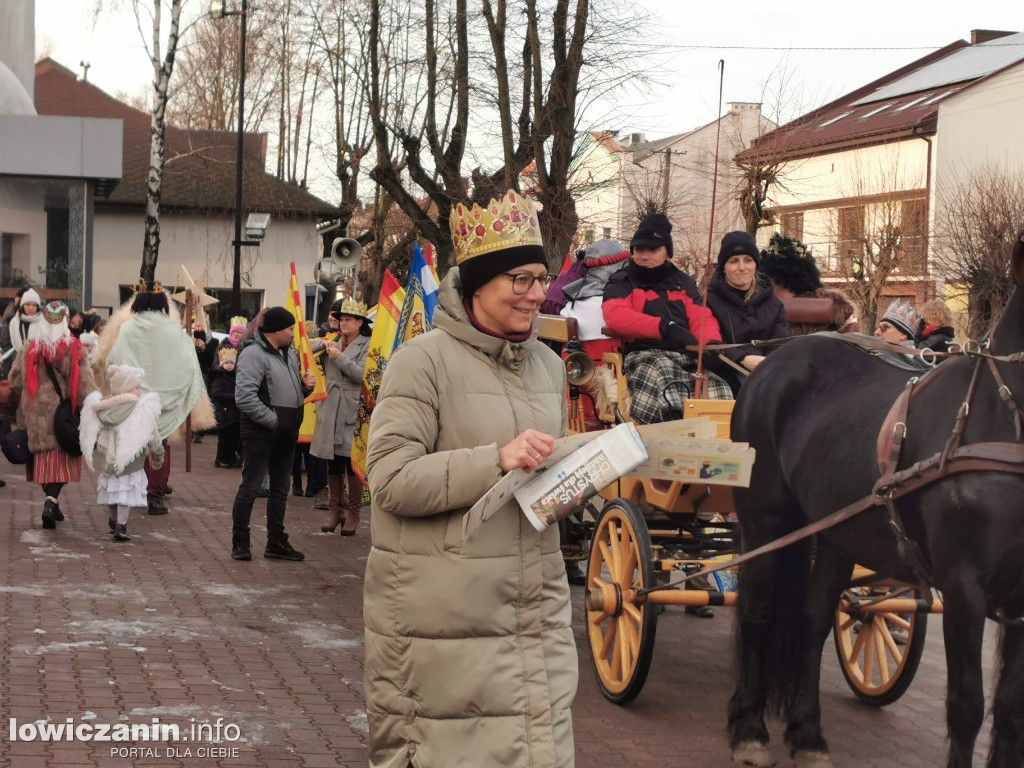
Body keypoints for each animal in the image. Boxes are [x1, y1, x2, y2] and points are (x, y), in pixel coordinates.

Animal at [729, 237, 1024, 765]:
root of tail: (776, 361)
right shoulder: (965, 586)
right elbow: (967, 706)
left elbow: (1010, 708)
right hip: (766, 521)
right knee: (756, 613)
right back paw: (749, 731)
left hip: (833, 532)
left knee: (813, 619)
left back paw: (808, 735)